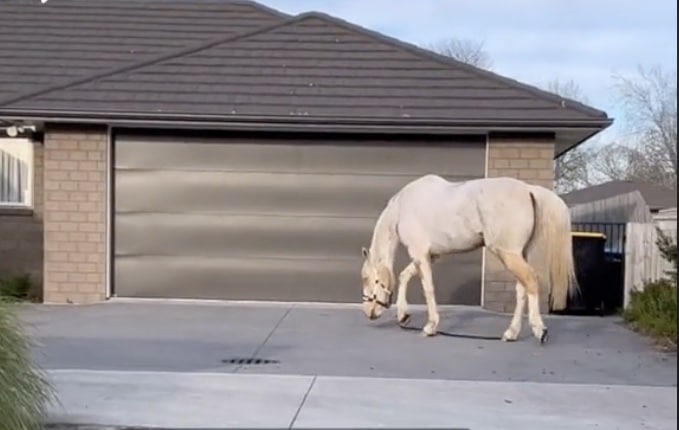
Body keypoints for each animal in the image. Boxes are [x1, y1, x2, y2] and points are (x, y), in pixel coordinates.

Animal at [362, 173, 580, 344]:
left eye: (369, 279)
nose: (369, 312)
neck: (402, 208)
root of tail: (528, 190)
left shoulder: (419, 253)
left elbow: (427, 288)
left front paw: (430, 326)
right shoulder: (431, 255)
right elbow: (404, 276)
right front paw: (403, 316)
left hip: (508, 254)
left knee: (531, 281)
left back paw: (539, 330)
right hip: (519, 254)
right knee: (522, 289)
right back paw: (511, 333)